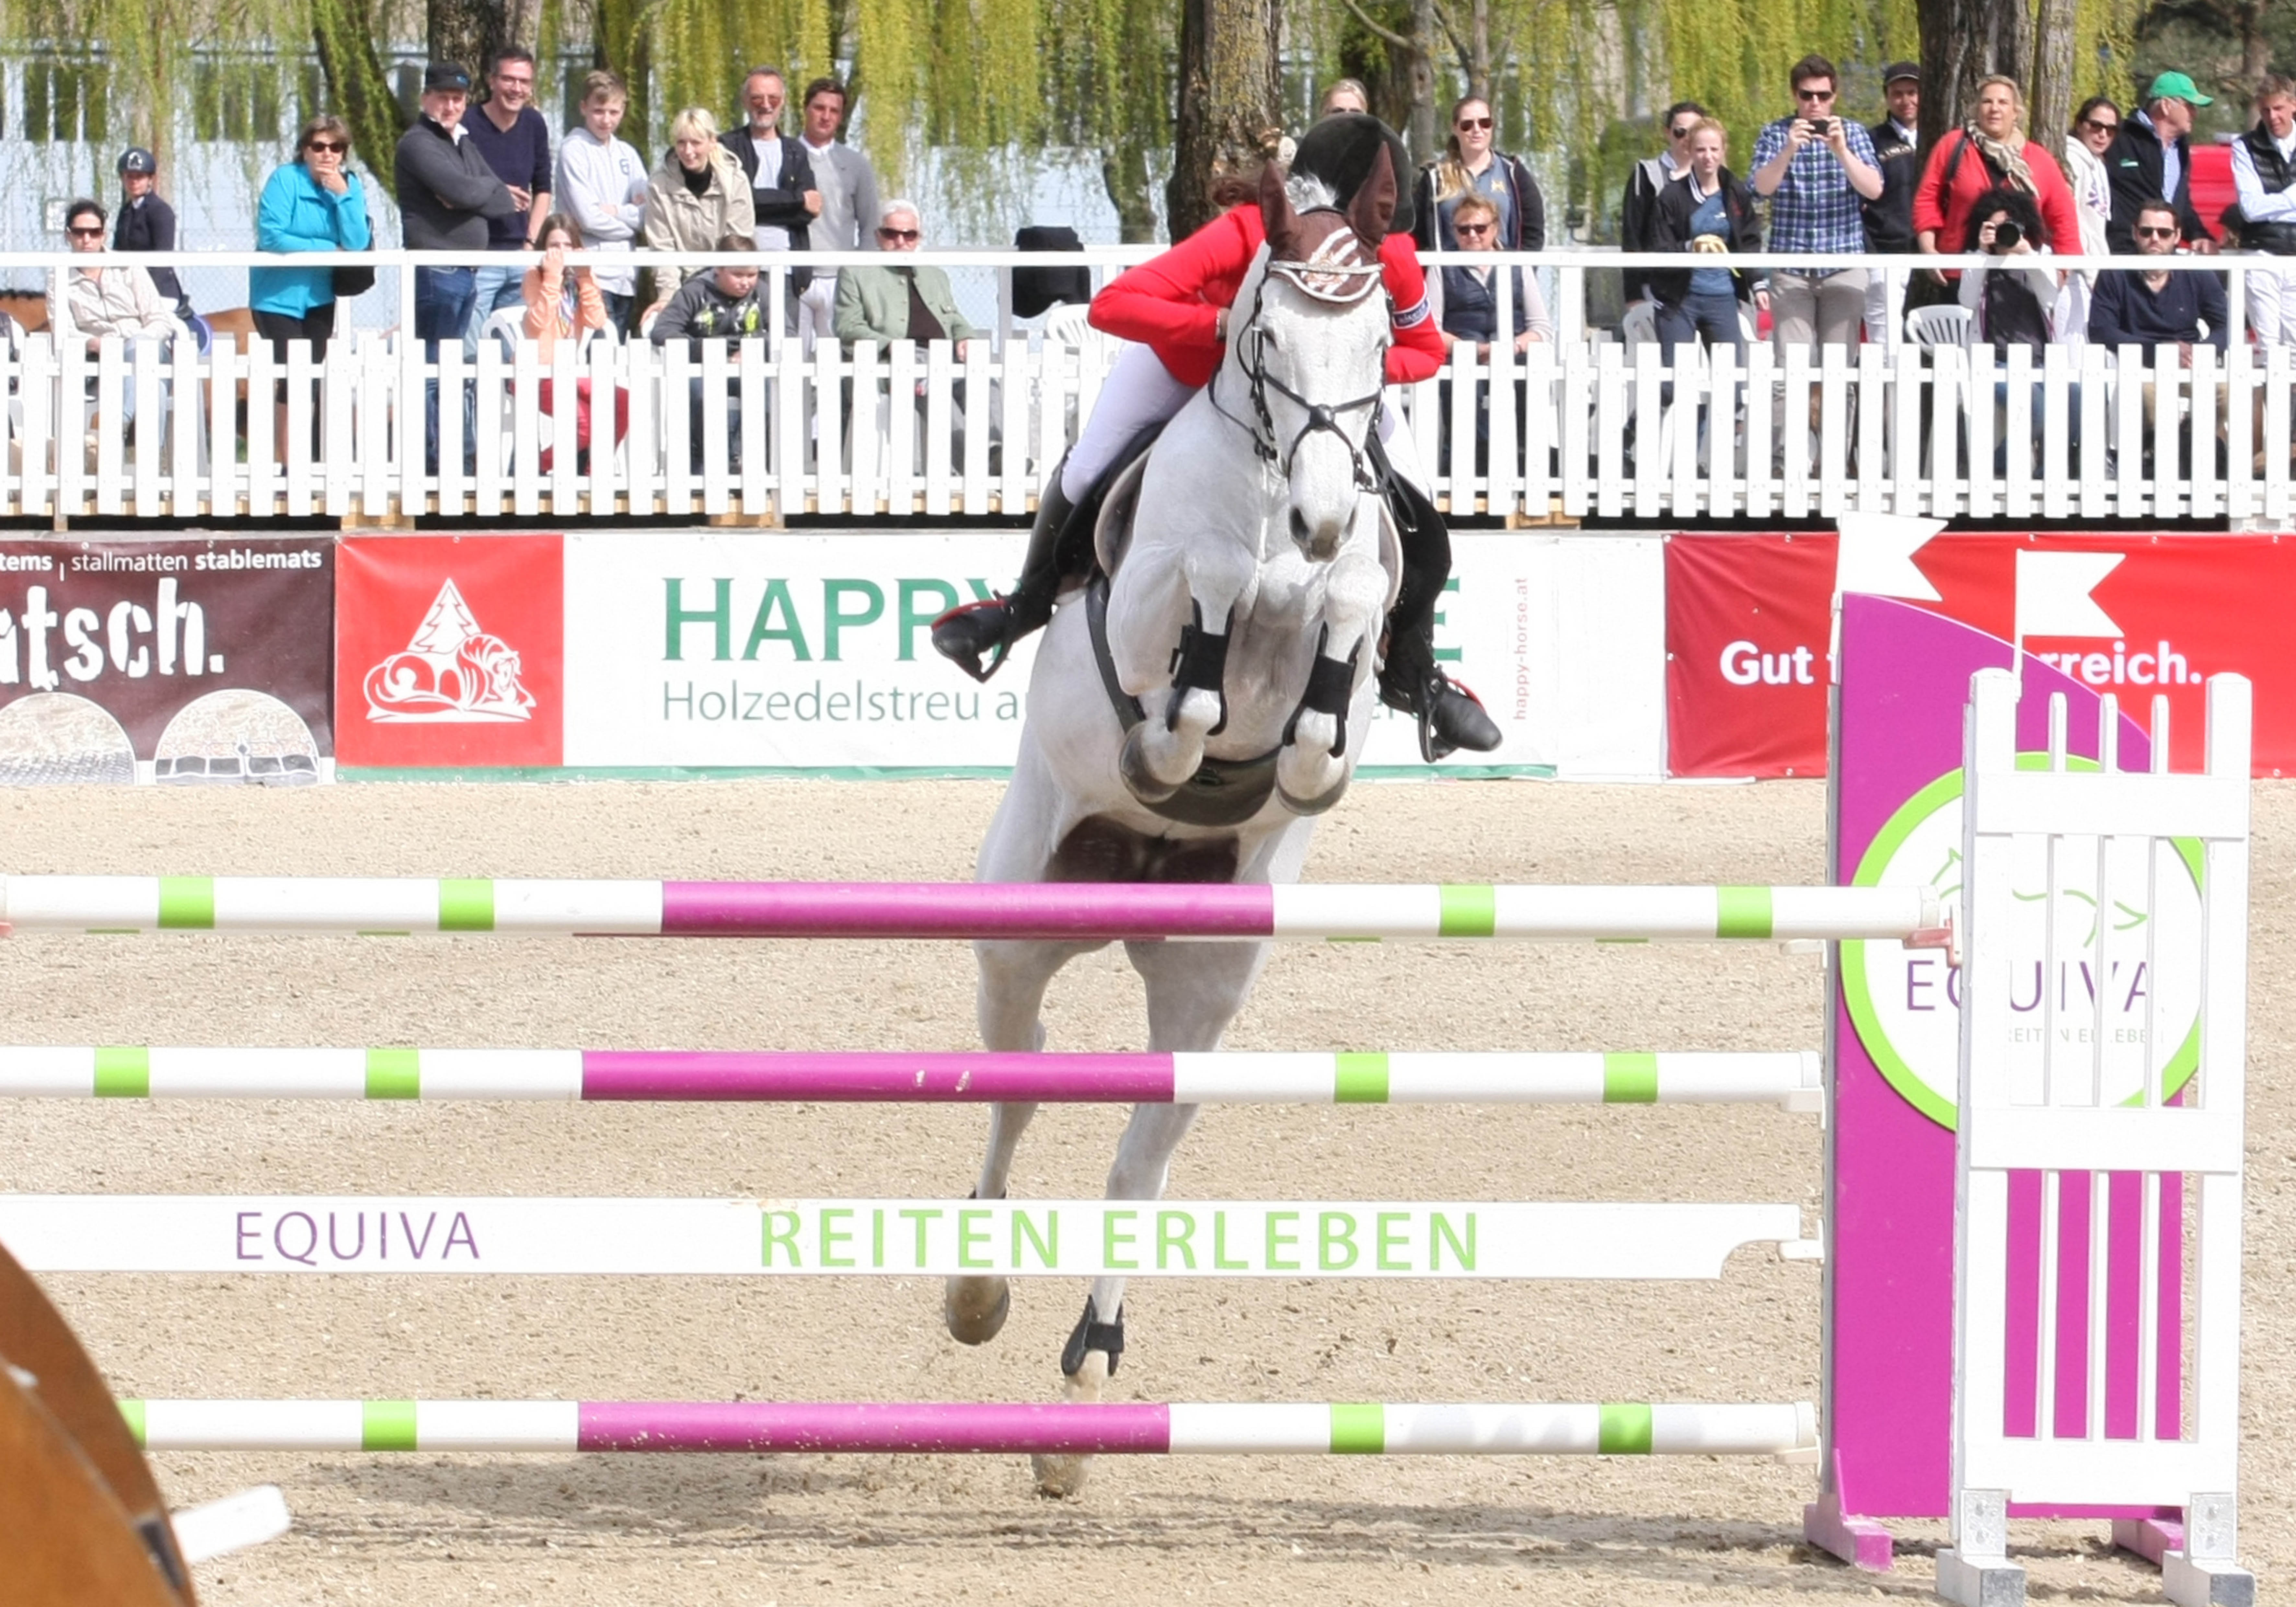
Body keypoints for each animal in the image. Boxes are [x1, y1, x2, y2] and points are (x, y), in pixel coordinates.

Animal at [946, 150, 1396, 1497]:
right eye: (1264, 334)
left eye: (1382, 340)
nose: (1318, 514)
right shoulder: (1153, 597)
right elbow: (1201, 608)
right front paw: (1177, 735)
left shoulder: (1356, 609)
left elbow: (1344, 628)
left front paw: (1304, 748)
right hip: (1016, 931)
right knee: (1018, 1087)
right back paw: (976, 1291)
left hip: (1205, 982)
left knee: (1139, 1158)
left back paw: (1090, 1367)